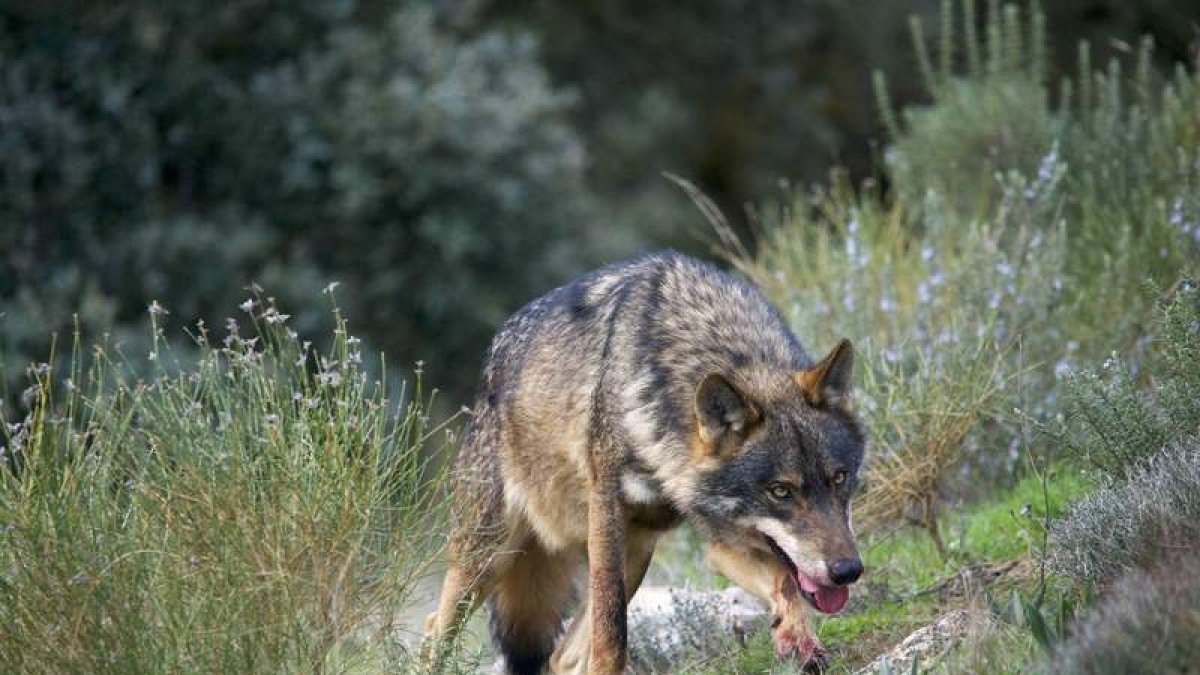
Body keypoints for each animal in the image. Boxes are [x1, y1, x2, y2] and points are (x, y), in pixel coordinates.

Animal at [423, 251, 865, 674]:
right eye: (780, 492)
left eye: (839, 478)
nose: (848, 571)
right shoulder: (606, 513)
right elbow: (611, 636)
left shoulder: (721, 540)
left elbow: (785, 583)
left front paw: (798, 639)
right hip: (489, 557)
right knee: (433, 632)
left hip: (635, 553)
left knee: (563, 658)